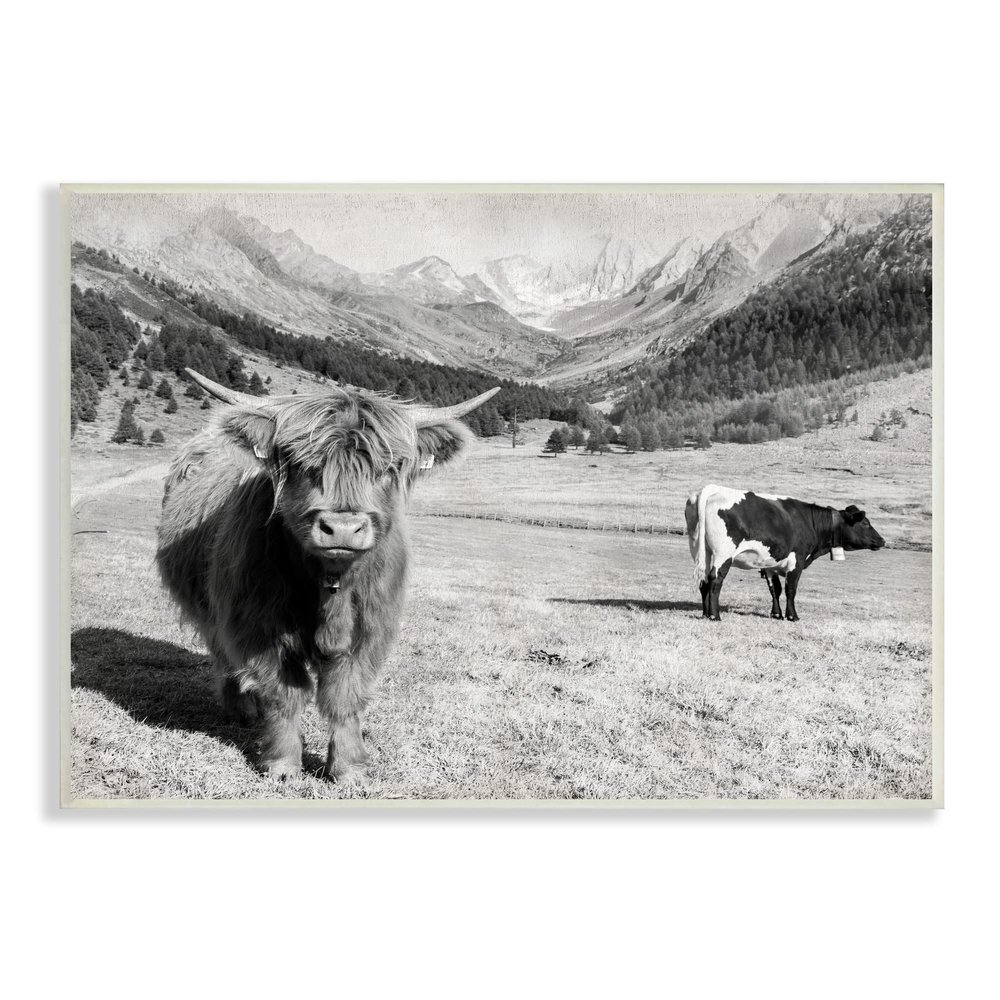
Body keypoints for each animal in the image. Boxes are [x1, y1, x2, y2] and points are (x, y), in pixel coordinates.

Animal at [155, 369, 500, 780]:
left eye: (386, 468)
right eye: (303, 464)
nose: (343, 528)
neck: (330, 585)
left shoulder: (370, 629)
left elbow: (345, 696)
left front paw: (349, 767)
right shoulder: (258, 625)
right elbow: (285, 694)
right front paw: (283, 764)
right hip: (212, 609)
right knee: (223, 654)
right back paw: (242, 708)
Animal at [684, 484, 885, 622]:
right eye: (865, 523)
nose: (882, 541)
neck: (810, 522)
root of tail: (712, 489)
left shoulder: (770, 563)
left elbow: (775, 589)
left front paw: (776, 614)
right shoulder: (797, 561)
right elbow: (790, 589)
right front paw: (792, 616)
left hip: (700, 550)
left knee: (704, 580)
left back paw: (705, 613)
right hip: (723, 553)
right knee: (715, 579)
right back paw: (715, 616)